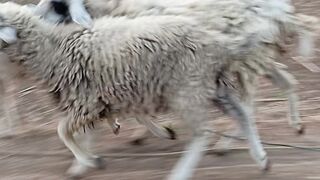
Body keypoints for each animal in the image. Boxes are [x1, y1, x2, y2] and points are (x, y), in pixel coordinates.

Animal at [0, 1, 272, 179]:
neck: (55, 48)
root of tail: (217, 40)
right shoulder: (104, 99)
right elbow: (80, 131)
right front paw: (88, 160)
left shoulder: (87, 102)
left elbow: (62, 131)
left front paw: (89, 160)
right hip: (212, 85)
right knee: (241, 113)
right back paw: (261, 159)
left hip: (187, 89)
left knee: (202, 133)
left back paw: (180, 173)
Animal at [33, 0, 320, 148]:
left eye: (57, 5)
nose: (33, 14)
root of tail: (280, 10)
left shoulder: (135, 73)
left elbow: (137, 112)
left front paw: (159, 131)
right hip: (255, 57)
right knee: (286, 80)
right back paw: (296, 124)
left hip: (245, 60)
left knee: (249, 103)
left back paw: (227, 144)